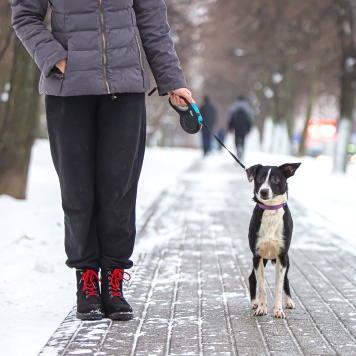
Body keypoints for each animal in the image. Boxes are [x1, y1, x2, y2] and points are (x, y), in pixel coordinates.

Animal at [246, 163, 302, 318]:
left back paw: (289, 301)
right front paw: (261, 308)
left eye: (276, 179)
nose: (264, 191)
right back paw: (254, 302)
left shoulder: (282, 256)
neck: (270, 210)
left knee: (286, 280)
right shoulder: (257, 256)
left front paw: (278, 310)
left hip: (286, 259)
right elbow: (262, 287)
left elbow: (278, 286)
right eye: (259, 178)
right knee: (252, 278)